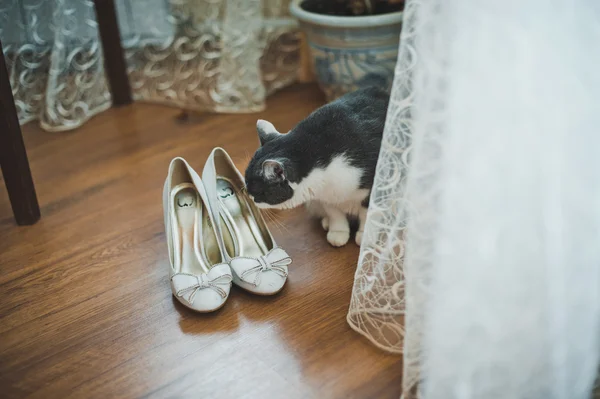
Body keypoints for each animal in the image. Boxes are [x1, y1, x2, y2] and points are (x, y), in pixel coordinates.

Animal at [244, 86, 390, 247]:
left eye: (257, 192)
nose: (249, 197)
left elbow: (368, 214)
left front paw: (365, 237)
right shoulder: (324, 195)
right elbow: (334, 213)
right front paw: (338, 232)